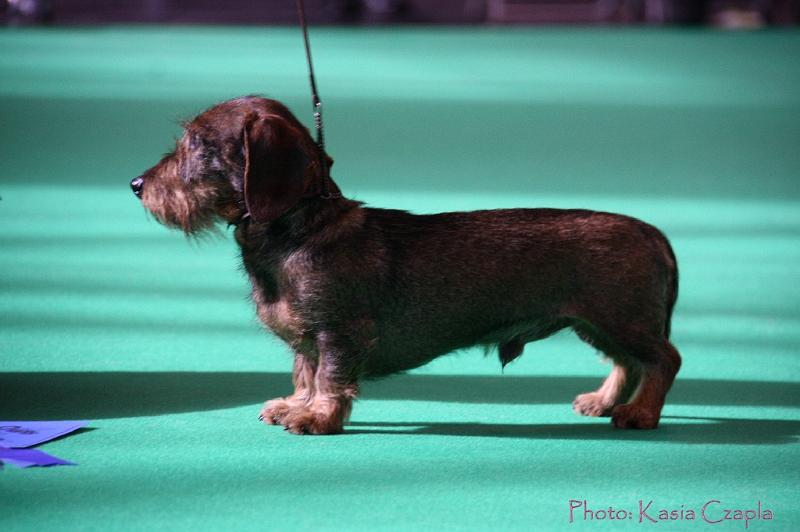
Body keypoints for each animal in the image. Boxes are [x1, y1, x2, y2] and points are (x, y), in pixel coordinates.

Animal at [131, 96, 680, 436]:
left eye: (197, 143)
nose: (137, 185)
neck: (300, 229)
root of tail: (652, 232)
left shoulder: (339, 332)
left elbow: (328, 377)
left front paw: (318, 418)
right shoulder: (310, 336)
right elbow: (305, 373)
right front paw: (296, 406)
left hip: (619, 318)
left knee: (663, 360)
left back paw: (639, 413)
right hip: (598, 323)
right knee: (627, 362)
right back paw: (605, 401)